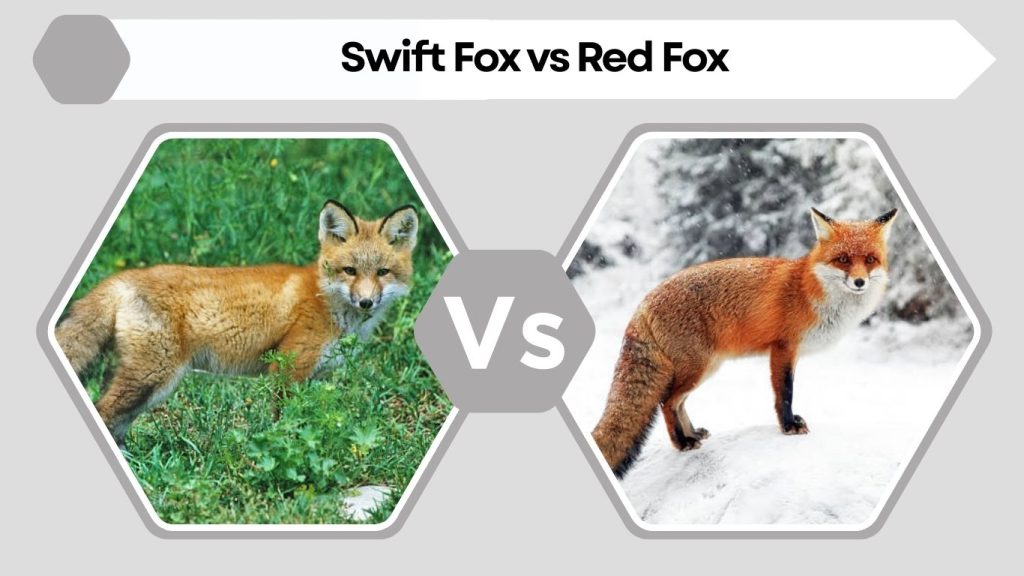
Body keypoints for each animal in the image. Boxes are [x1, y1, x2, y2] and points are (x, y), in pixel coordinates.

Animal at [55, 200, 419, 447]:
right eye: (350, 271)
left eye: (382, 272)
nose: (366, 302)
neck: (326, 300)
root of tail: (123, 278)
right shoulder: (288, 367)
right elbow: (285, 423)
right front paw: (286, 450)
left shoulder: (318, 376)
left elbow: (309, 420)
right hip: (153, 377)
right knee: (105, 411)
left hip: (146, 383)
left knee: (115, 420)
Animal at [592, 207, 898, 478]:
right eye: (843, 259)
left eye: (870, 259)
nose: (859, 282)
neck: (810, 291)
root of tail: (644, 301)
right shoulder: (783, 348)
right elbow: (784, 393)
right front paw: (788, 426)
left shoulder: (790, 352)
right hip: (696, 368)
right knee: (666, 402)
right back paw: (682, 443)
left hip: (704, 369)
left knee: (677, 404)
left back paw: (692, 433)